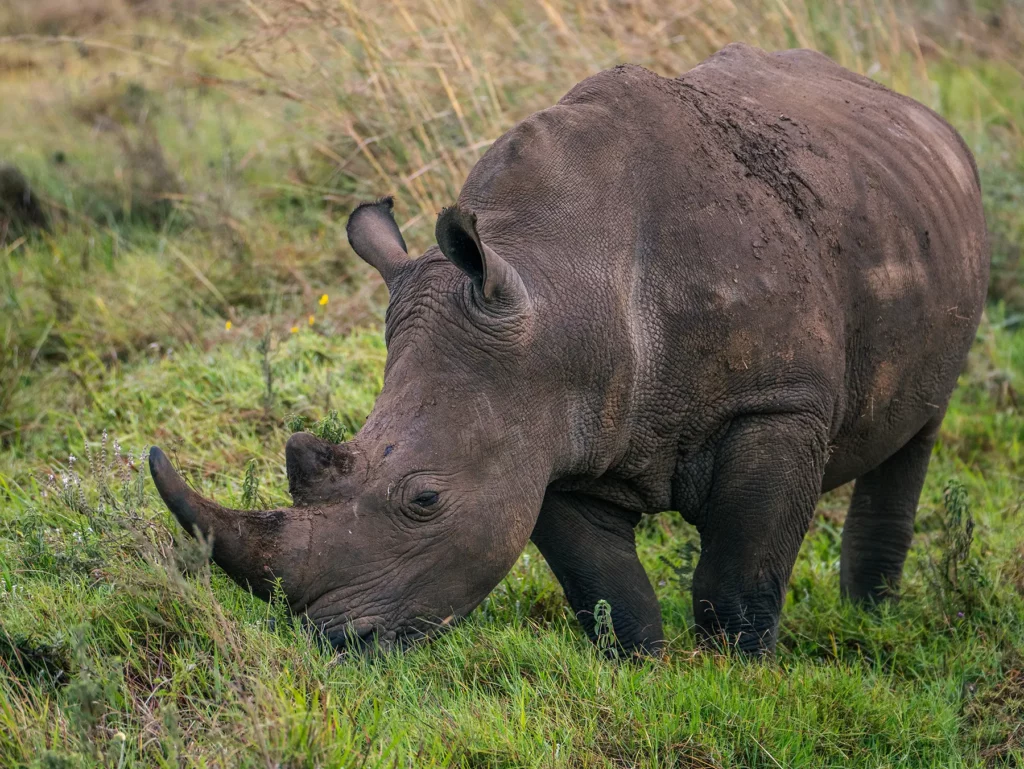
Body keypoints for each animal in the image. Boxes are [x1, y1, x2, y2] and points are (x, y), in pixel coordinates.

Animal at [150, 43, 989, 655]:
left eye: (425, 500)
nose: (332, 640)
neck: (559, 285)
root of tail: (912, 109)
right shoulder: (545, 425)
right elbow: (604, 583)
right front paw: (641, 667)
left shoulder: (777, 404)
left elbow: (742, 572)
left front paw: (737, 669)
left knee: (919, 429)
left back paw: (869, 618)